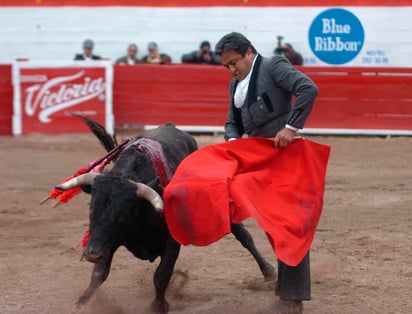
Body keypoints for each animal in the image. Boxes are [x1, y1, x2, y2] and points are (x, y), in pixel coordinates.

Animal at [53, 121, 276, 312]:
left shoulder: (171, 241)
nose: (92, 254)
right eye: (92, 207)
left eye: (124, 213)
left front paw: (159, 305)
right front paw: (82, 302)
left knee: (243, 235)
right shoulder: (107, 239)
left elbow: (162, 274)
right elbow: (99, 274)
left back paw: (268, 272)